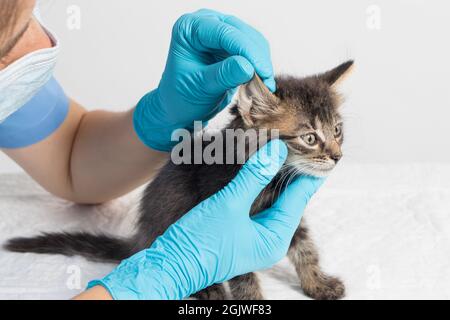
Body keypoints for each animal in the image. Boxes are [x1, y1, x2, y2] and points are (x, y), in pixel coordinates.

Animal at [4, 60, 356, 300]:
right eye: (310, 138)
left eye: (338, 130)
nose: (338, 156)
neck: (273, 181)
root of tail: (142, 237)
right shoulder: (237, 230)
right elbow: (243, 273)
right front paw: (252, 299)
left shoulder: (285, 214)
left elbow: (305, 247)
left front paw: (317, 283)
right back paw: (208, 290)